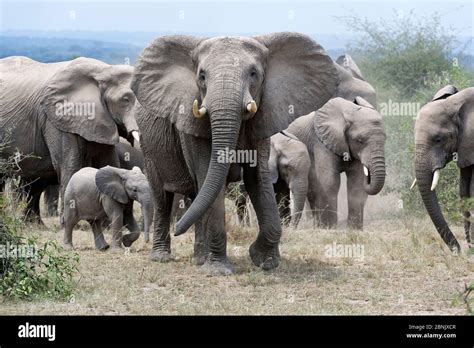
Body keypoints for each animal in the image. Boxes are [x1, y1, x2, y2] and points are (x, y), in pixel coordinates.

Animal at [131, 32, 336, 274]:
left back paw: (198, 258)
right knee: (163, 197)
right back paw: (162, 257)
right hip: (148, 146)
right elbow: (210, 178)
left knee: (196, 195)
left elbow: (258, 179)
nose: (178, 229)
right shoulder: (190, 124)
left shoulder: (263, 120)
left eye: (254, 74)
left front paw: (264, 261)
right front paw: (219, 270)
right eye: (202, 76)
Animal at [286, 96, 386, 230]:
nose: (369, 173)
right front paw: (330, 228)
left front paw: (354, 229)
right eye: (360, 140)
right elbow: (329, 181)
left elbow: (356, 183)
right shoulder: (321, 141)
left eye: (385, 139)